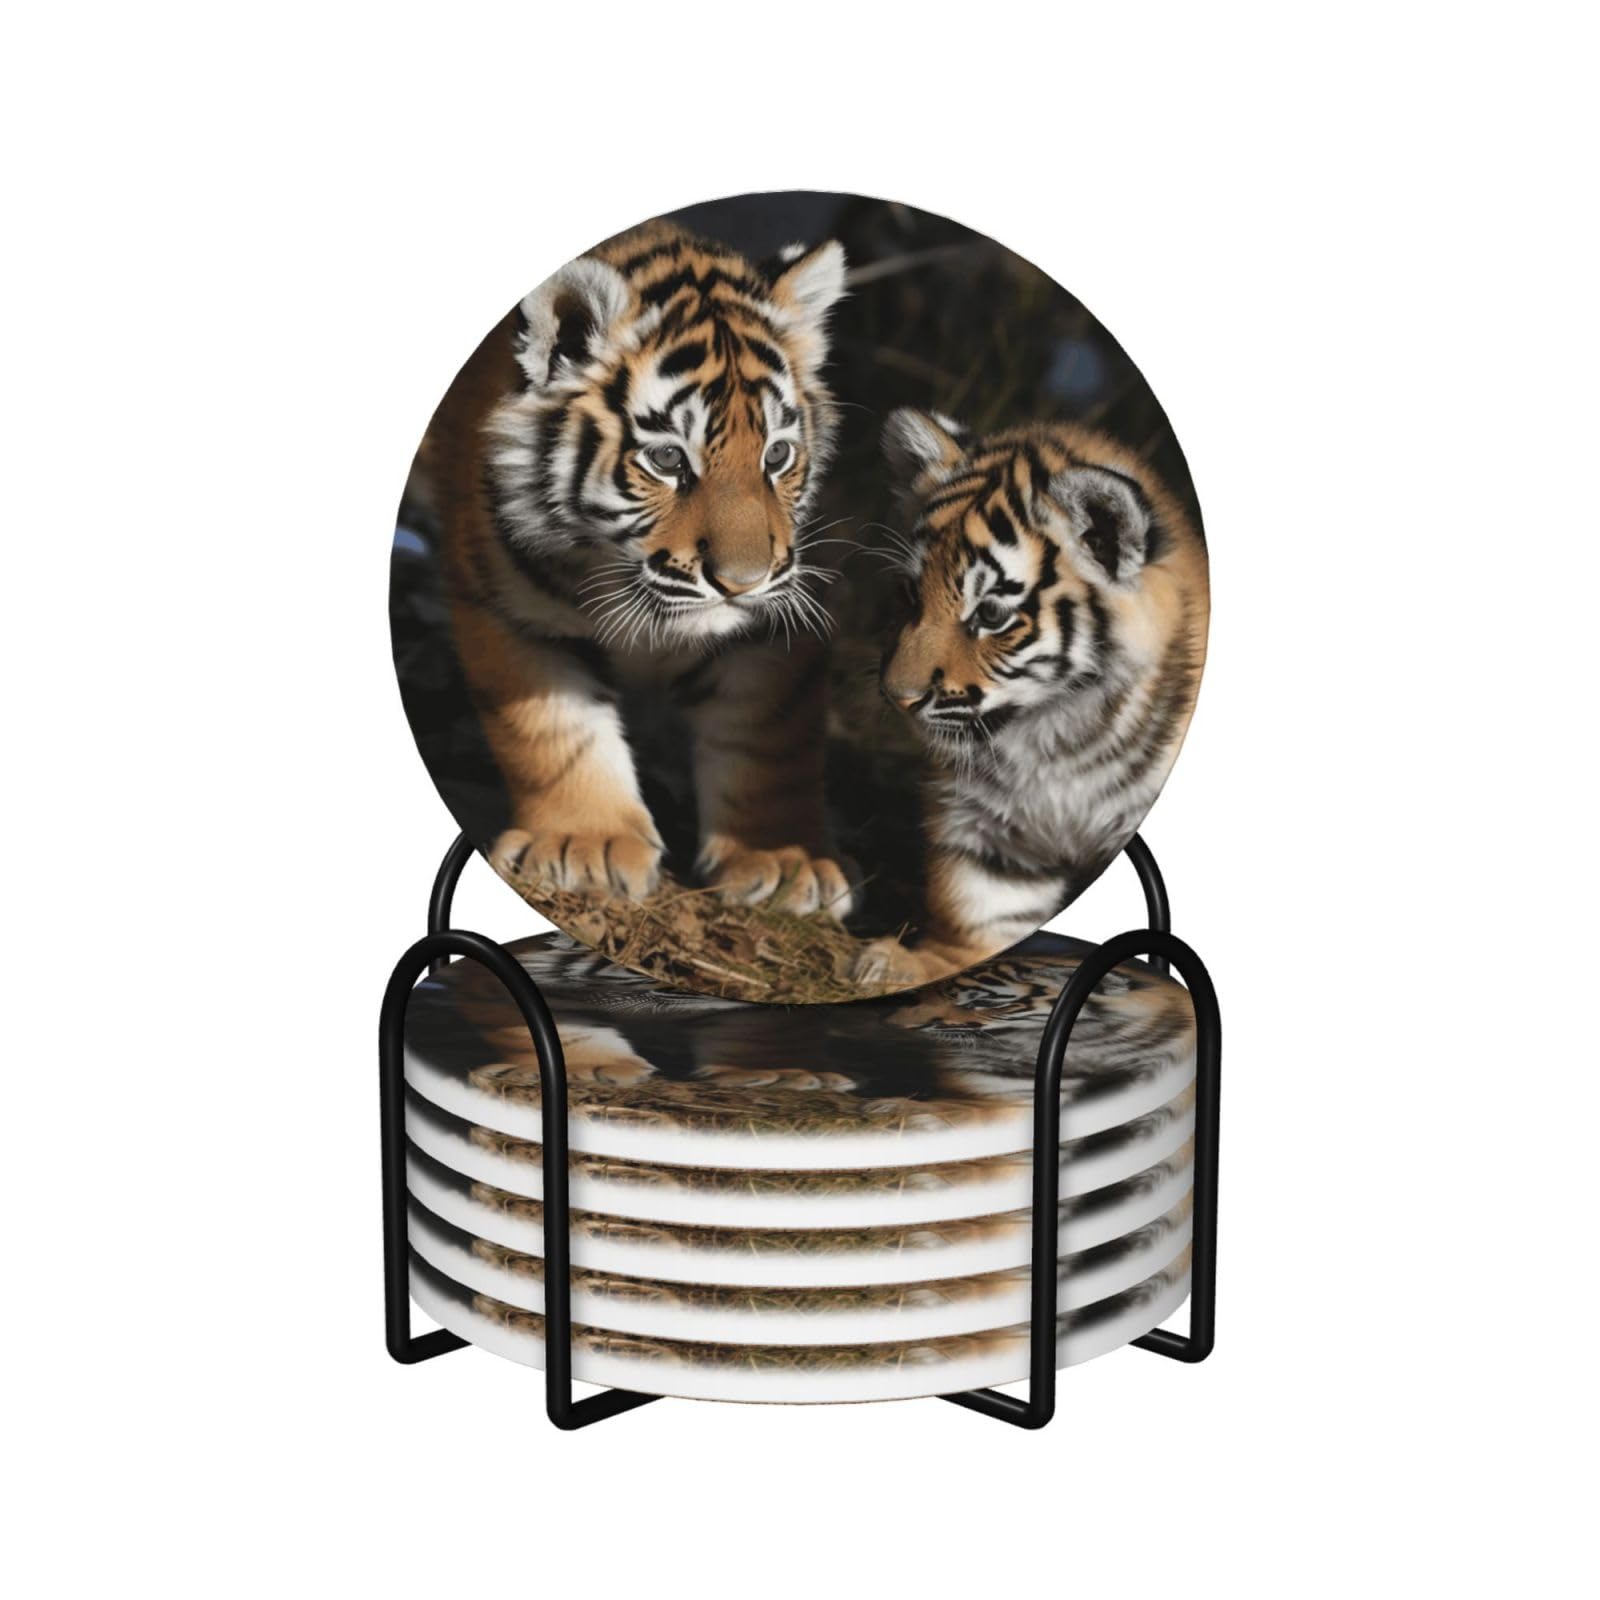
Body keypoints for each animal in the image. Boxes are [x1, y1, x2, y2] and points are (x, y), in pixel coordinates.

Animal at [419, 220, 854, 917]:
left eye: (777, 455)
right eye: (669, 460)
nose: (743, 582)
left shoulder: (774, 627)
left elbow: (768, 740)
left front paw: (784, 864)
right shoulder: (508, 610)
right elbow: (555, 734)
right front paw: (584, 846)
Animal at [852, 409, 1209, 988]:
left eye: (991, 614)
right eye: (910, 594)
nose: (897, 697)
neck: (1052, 731)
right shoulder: (988, 829)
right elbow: (973, 910)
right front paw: (913, 966)